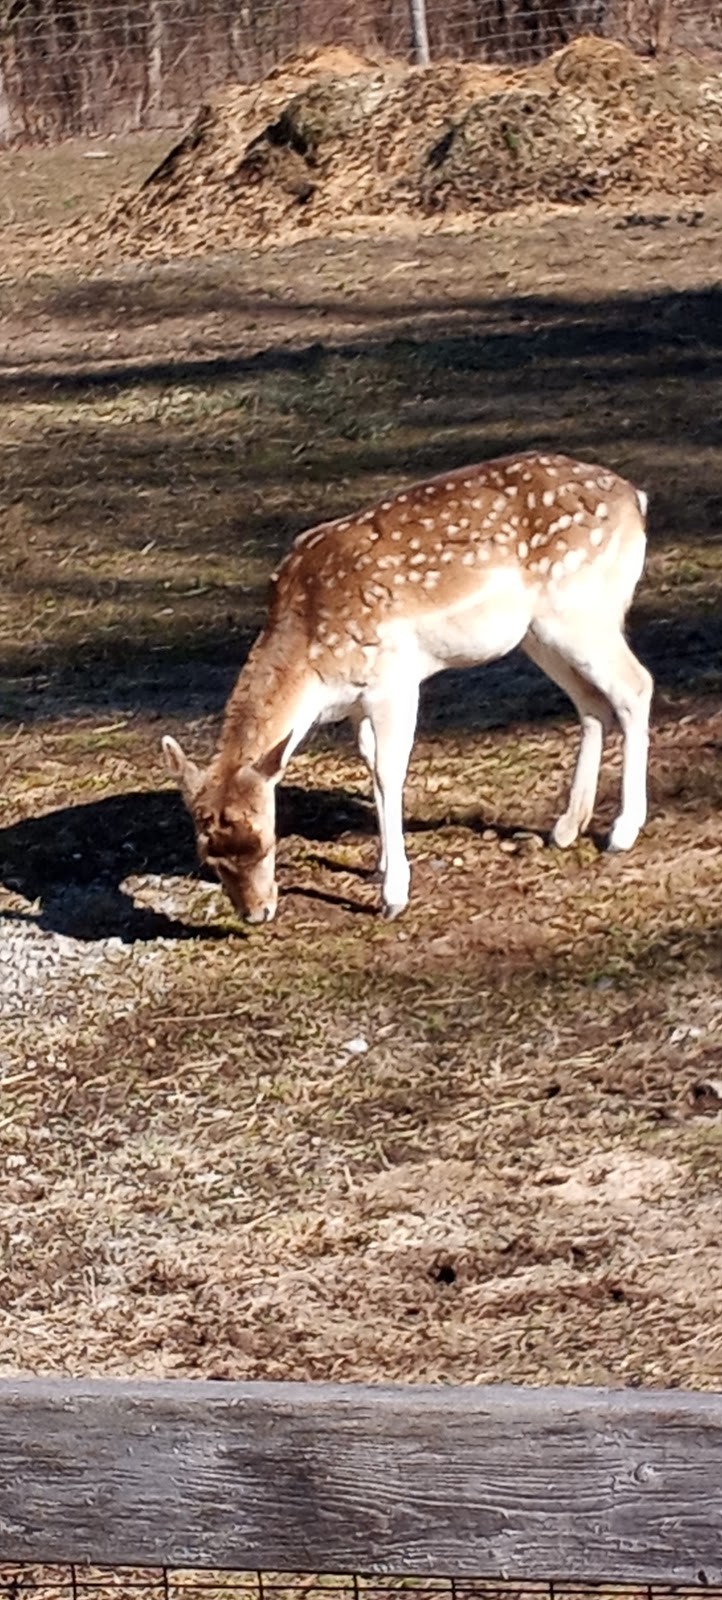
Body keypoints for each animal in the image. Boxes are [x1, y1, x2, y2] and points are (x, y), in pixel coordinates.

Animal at [165, 454, 656, 928]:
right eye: (208, 856)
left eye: (265, 840)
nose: (256, 913)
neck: (313, 661)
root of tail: (636, 498)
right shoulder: (357, 702)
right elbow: (369, 763)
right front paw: (382, 864)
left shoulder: (393, 680)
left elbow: (389, 771)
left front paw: (393, 895)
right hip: (539, 632)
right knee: (591, 702)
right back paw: (567, 827)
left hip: (576, 608)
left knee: (635, 685)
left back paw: (623, 831)